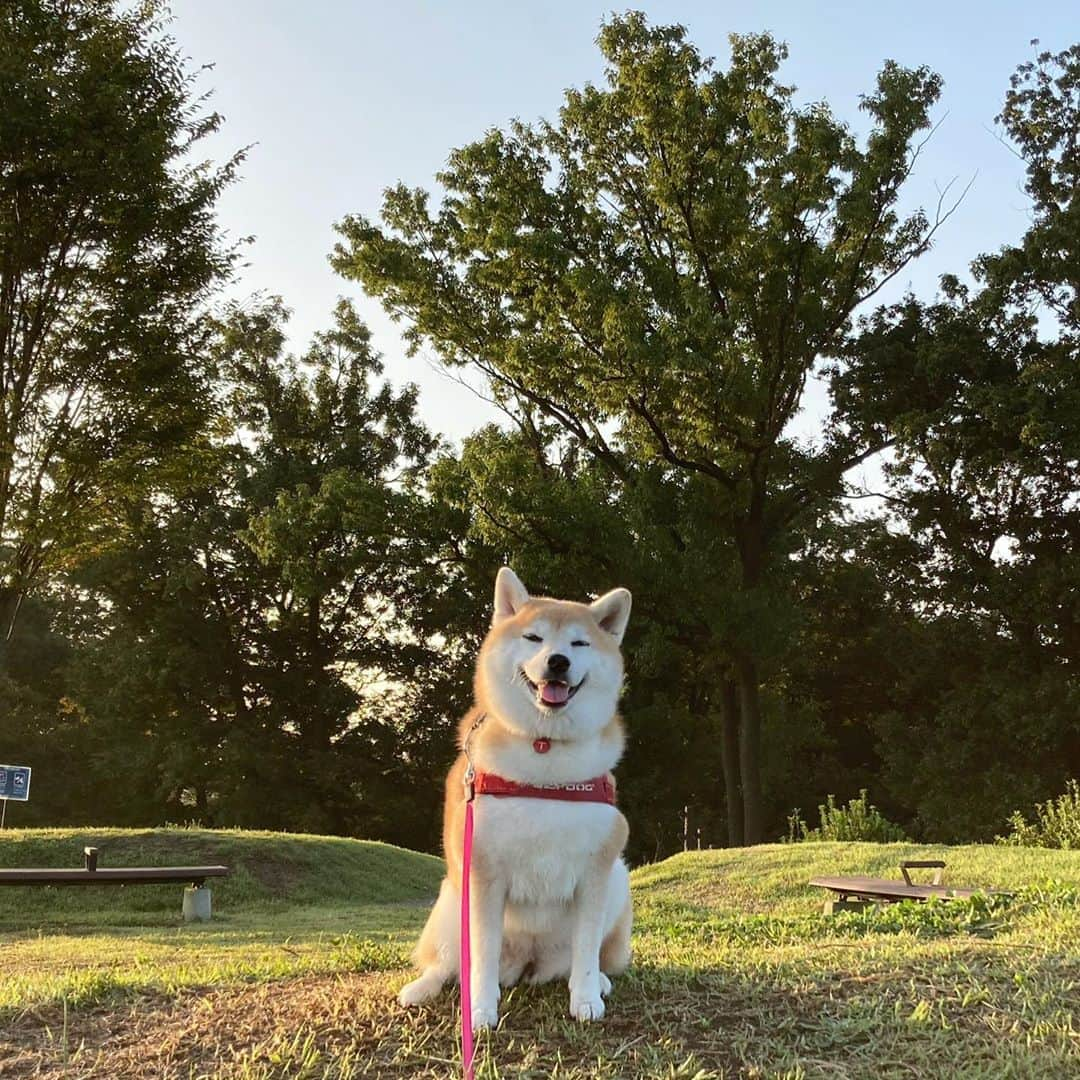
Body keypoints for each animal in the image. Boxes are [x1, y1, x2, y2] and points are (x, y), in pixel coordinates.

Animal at [397, 565, 630, 1028]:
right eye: (534, 638)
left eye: (579, 643)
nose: (558, 661)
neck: (544, 753)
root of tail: (527, 965)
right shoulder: (483, 873)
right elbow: (481, 956)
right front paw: (481, 1011)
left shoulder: (596, 871)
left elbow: (587, 950)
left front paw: (586, 998)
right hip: (450, 903)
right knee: (446, 965)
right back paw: (422, 989)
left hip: (619, 880)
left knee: (582, 958)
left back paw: (599, 981)